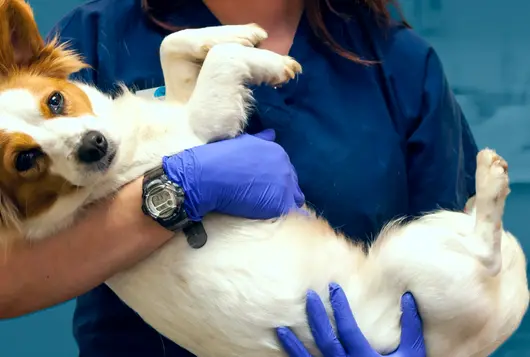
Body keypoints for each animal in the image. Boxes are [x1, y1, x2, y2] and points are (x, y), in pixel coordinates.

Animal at [0, 0, 524, 356]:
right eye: (24, 160)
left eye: (54, 100)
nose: (93, 146)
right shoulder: (205, 132)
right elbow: (221, 63)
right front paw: (270, 62)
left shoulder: (185, 102)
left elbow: (175, 46)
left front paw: (239, 32)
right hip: (417, 255)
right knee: (487, 247)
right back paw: (490, 179)